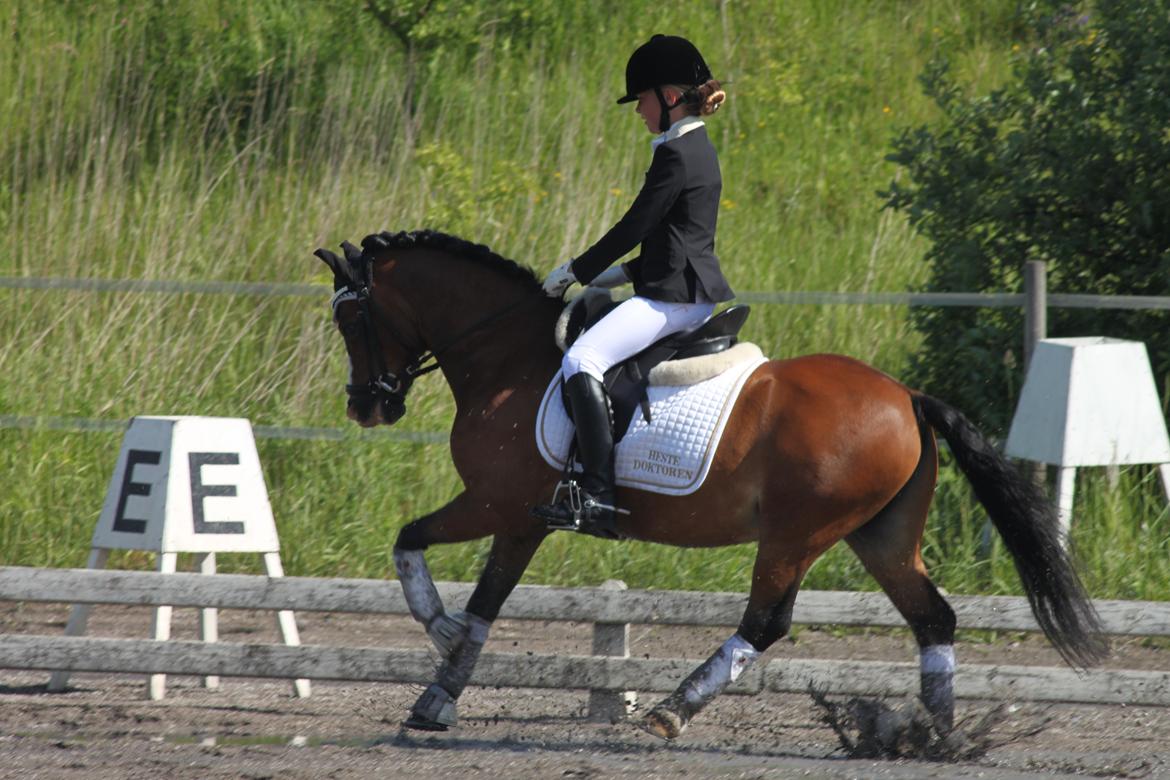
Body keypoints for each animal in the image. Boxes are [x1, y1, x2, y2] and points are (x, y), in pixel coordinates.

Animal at [314, 229, 1106, 740]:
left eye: (352, 319)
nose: (366, 405)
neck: (508, 357)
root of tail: (907, 396)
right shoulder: (522, 519)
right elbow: (477, 594)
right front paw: (438, 688)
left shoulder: (497, 504)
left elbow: (421, 553)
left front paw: (438, 643)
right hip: (880, 535)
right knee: (933, 619)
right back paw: (939, 737)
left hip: (797, 534)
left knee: (767, 622)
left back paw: (673, 710)